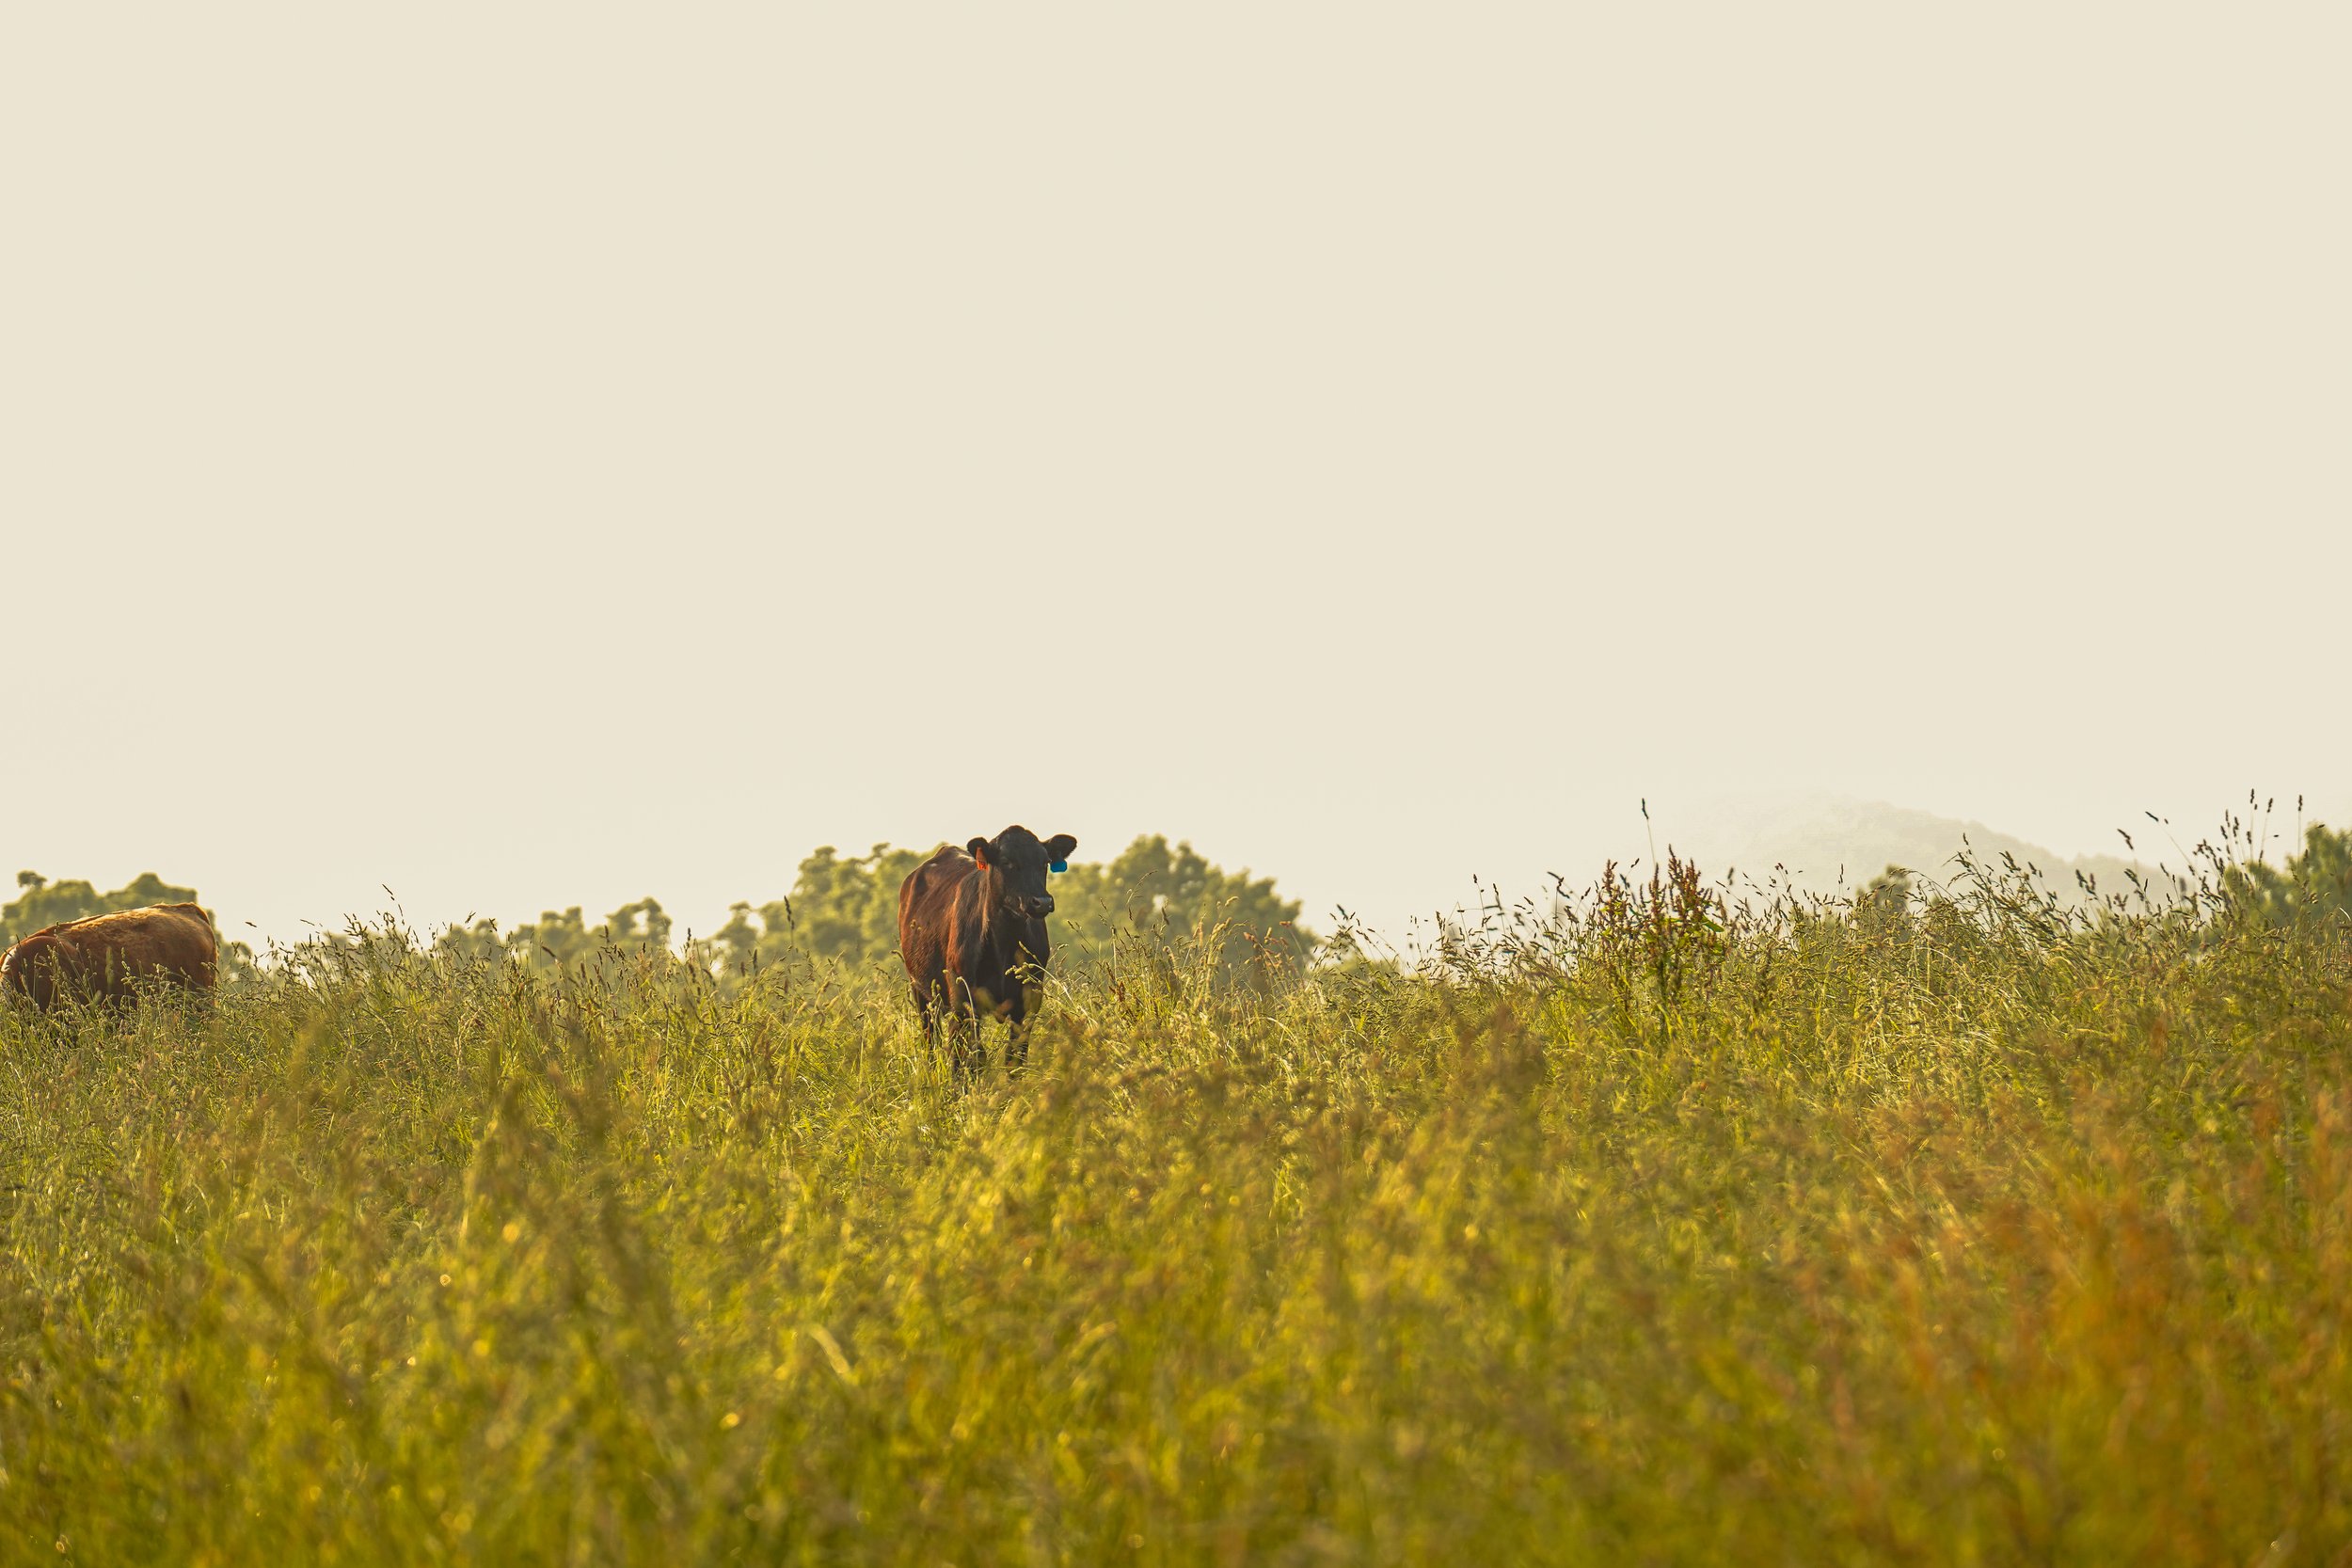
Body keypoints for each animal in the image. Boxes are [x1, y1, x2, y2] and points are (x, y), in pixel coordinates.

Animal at [897, 825, 1076, 1077]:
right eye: (1007, 862)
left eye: (1045, 862)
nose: (1041, 901)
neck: (1004, 944)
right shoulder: (963, 1000)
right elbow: (965, 1059)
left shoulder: (1029, 1001)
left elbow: (1014, 1059)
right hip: (920, 990)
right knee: (931, 1038)